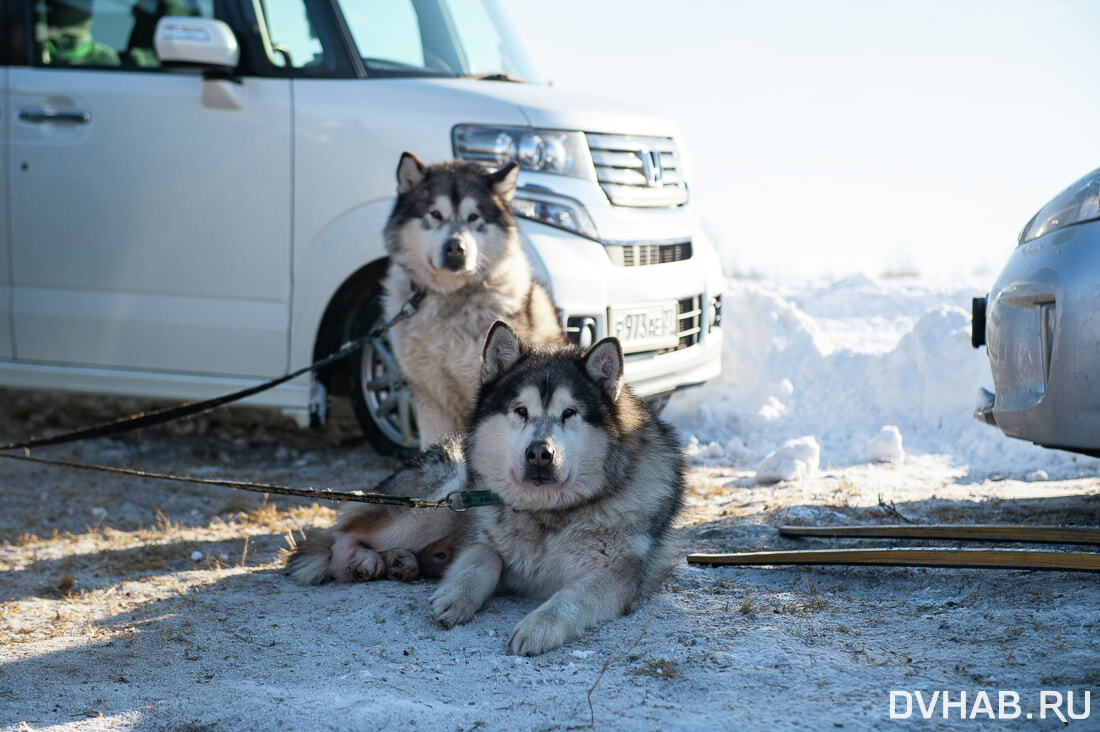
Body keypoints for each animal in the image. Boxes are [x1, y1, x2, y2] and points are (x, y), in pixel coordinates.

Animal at [288, 323, 682, 651]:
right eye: (521, 411)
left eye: (569, 413)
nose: (540, 454)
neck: (546, 513)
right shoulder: (480, 537)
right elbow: (486, 556)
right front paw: (457, 595)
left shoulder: (617, 575)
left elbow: (574, 596)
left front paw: (539, 627)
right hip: (441, 502)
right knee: (341, 535)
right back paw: (363, 561)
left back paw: (400, 562)